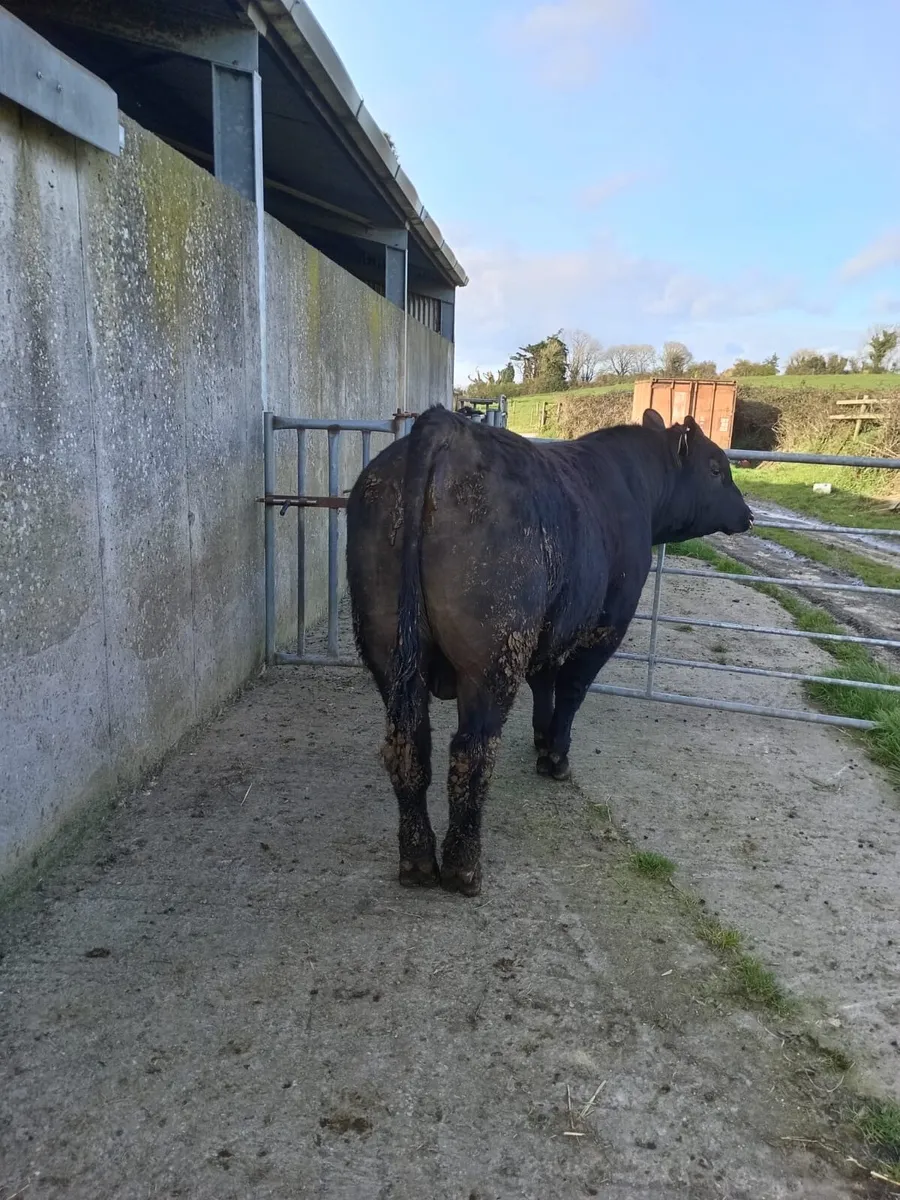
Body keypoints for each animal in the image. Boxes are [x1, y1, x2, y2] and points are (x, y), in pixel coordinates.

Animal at [346, 405, 752, 897]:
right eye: (715, 469)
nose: (748, 514)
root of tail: (444, 425)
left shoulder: (548, 628)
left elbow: (543, 681)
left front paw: (541, 737)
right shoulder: (606, 623)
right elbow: (572, 689)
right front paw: (555, 755)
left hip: (389, 648)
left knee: (409, 744)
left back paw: (418, 862)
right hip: (492, 655)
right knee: (471, 751)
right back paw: (464, 869)